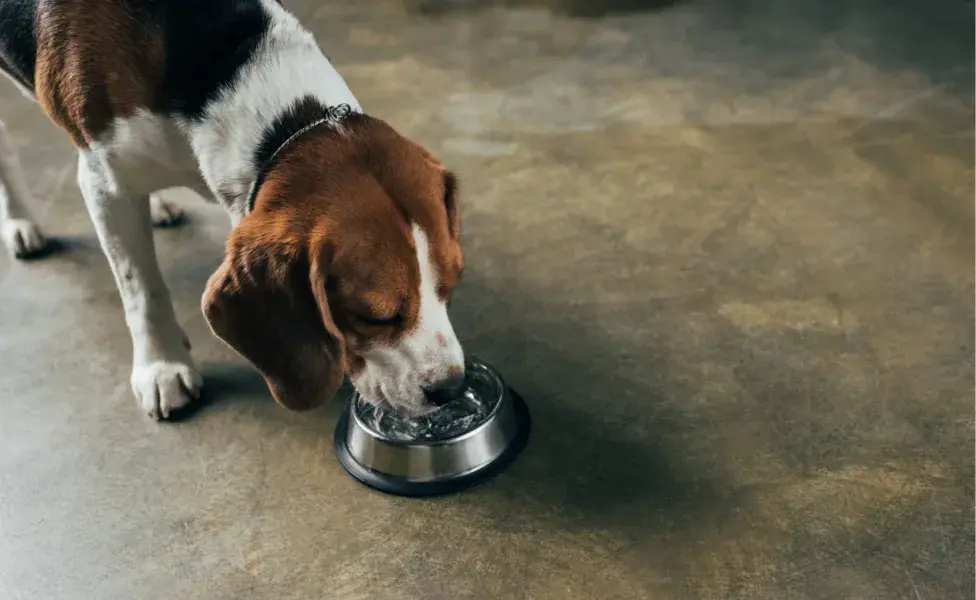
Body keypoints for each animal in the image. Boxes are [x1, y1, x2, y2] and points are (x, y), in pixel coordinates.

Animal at [0, 1, 468, 422]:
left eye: (449, 285)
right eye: (373, 316)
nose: (452, 389)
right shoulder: (103, 184)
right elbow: (141, 289)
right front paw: (162, 367)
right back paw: (21, 224)